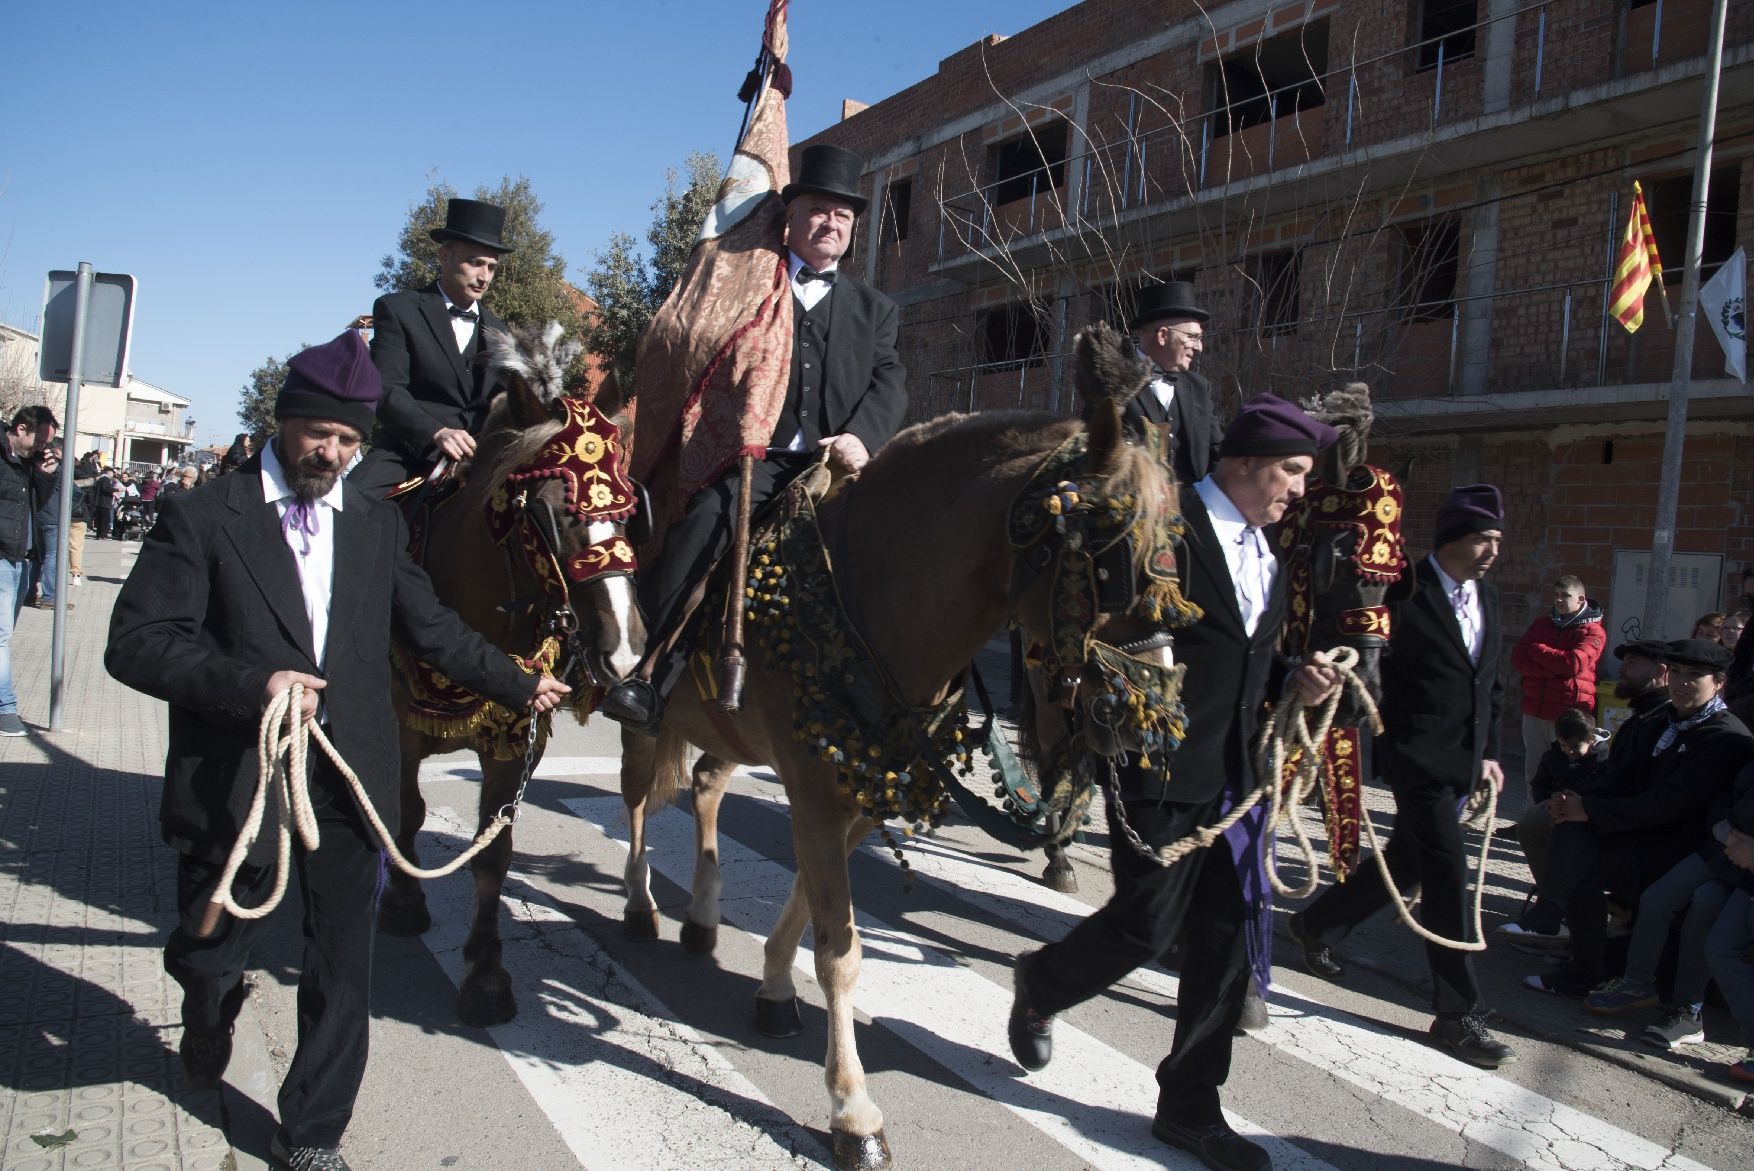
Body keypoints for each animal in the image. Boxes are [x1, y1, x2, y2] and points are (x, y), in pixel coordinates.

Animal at [380, 320, 648, 1023]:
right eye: (549, 511)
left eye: (629, 508)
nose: (625, 651)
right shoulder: (402, 722)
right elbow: (408, 809)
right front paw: (403, 901)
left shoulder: (513, 736)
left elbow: (493, 854)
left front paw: (485, 972)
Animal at [617, 322, 1192, 1171]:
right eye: (1114, 558)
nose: (1149, 715)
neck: (870, 586)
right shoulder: (817, 790)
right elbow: (841, 948)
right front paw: (853, 1112)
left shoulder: (855, 785)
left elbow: (811, 909)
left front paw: (774, 987)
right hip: (637, 709)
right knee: (634, 801)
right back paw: (639, 903)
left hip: (729, 734)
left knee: (710, 787)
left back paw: (703, 914)